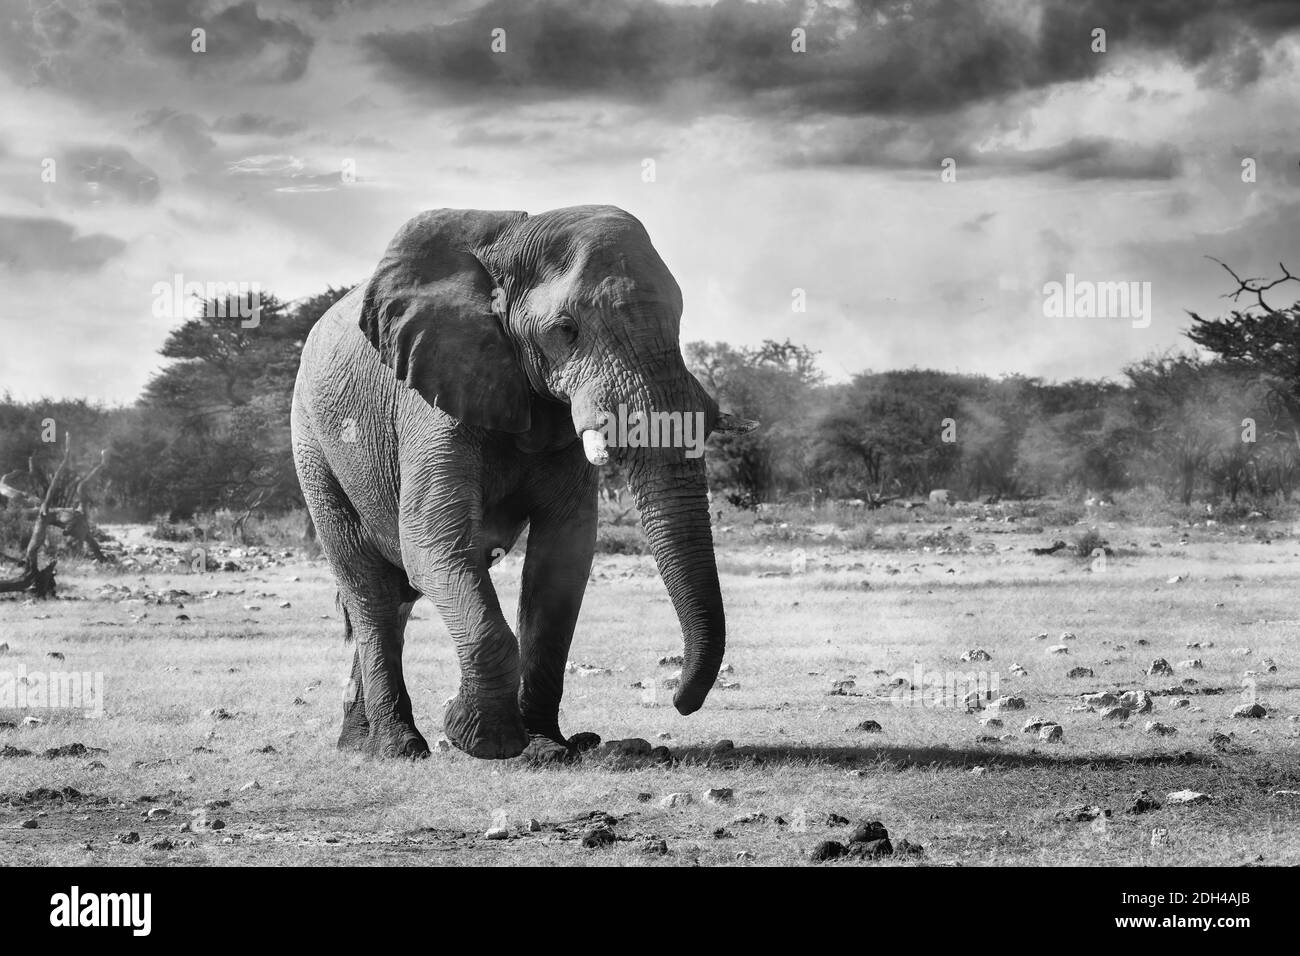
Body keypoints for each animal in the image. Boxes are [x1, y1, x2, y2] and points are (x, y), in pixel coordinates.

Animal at [289, 208, 759, 764]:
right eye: (566, 329)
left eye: (680, 322)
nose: (679, 702)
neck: (510, 244)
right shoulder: (430, 397)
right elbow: (432, 544)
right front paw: (482, 738)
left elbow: (562, 561)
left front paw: (546, 747)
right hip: (313, 447)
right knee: (371, 590)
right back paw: (398, 748)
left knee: (397, 598)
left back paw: (359, 744)